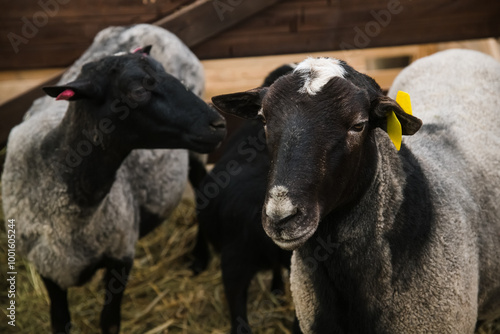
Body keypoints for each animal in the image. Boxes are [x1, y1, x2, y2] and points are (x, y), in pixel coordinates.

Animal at [0, 24, 226, 334]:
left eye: (173, 78)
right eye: (138, 90)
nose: (218, 124)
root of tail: (147, 26)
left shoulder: (121, 255)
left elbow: (109, 322)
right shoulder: (48, 269)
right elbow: (60, 321)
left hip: (195, 155)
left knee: (205, 192)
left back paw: (200, 258)